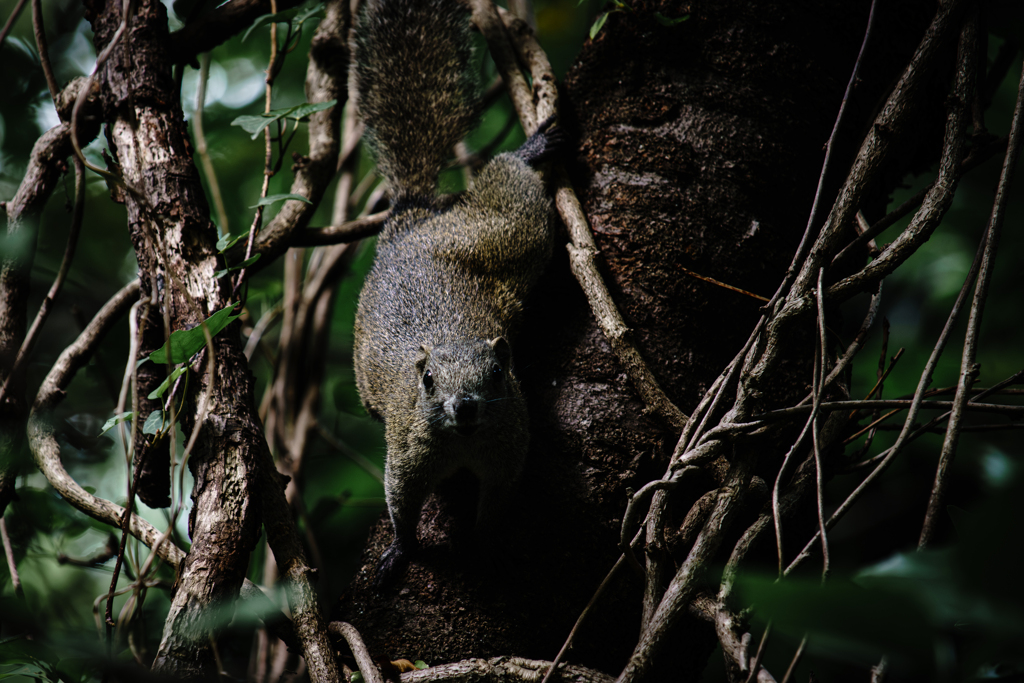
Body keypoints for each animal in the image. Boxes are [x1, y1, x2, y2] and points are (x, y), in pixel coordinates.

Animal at [350, 0, 561, 589]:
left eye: (497, 375)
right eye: (427, 381)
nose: (463, 407)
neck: (464, 442)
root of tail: (413, 216)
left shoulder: (510, 448)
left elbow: (497, 501)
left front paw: (483, 542)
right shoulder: (406, 452)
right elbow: (400, 504)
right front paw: (399, 551)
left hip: (510, 236)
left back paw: (531, 148)